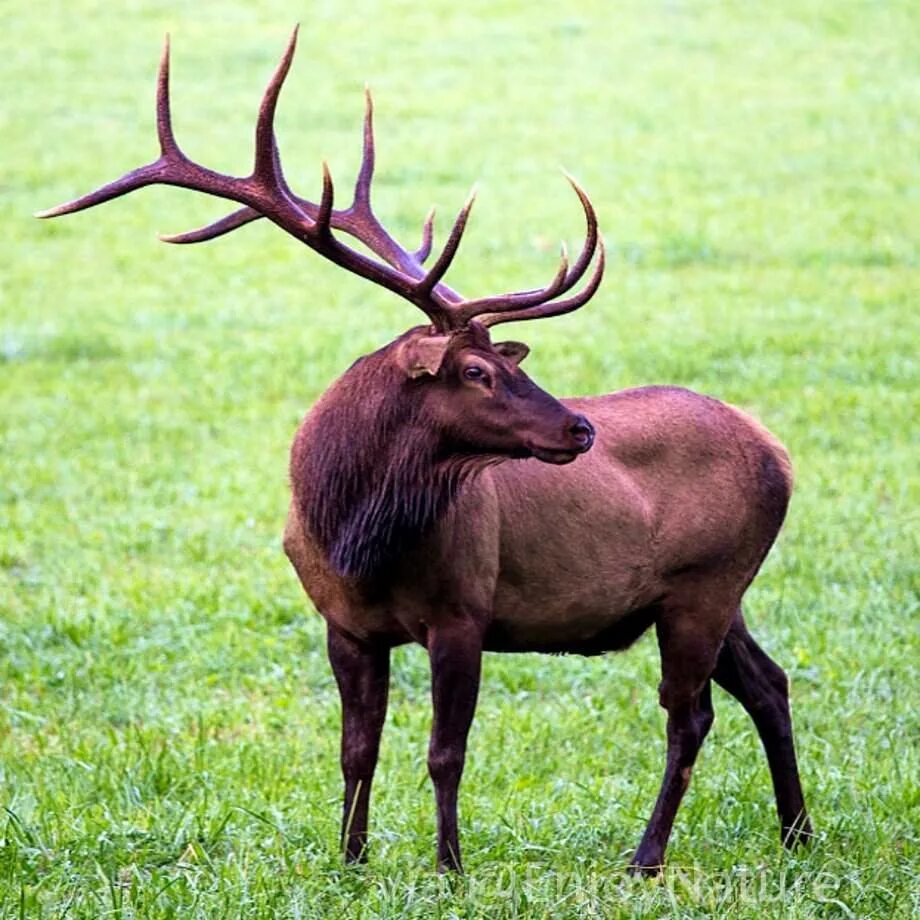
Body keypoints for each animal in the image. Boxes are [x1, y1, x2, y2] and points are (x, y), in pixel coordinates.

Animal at [37, 28, 812, 872]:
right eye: (477, 370)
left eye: (509, 361)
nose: (580, 428)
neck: (354, 538)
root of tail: (779, 453)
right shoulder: (342, 624)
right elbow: (356, 748)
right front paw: (350, 857)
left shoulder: (462, 611)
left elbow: (446, 753)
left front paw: (449, 867)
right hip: (712, 595)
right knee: (768, 683)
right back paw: (797, 834)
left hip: (706, 585)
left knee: (689, 716)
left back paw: (647, 857)